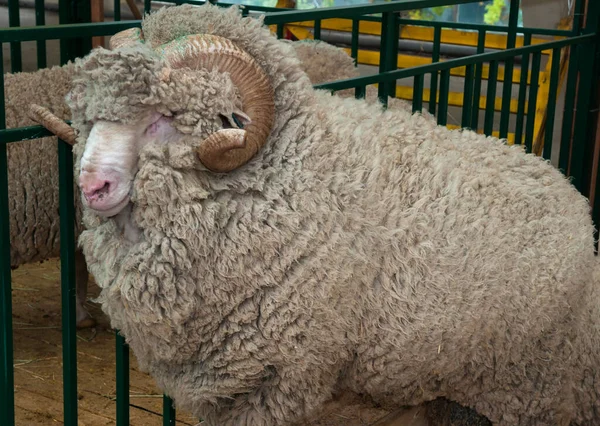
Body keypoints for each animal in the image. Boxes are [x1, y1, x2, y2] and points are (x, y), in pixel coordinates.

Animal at [35, 4, 600, 426]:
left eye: (166, 117)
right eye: (88, 116)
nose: (92, 186)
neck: (287, 175)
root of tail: (571, 196)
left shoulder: (273, 380)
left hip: (526, 387)